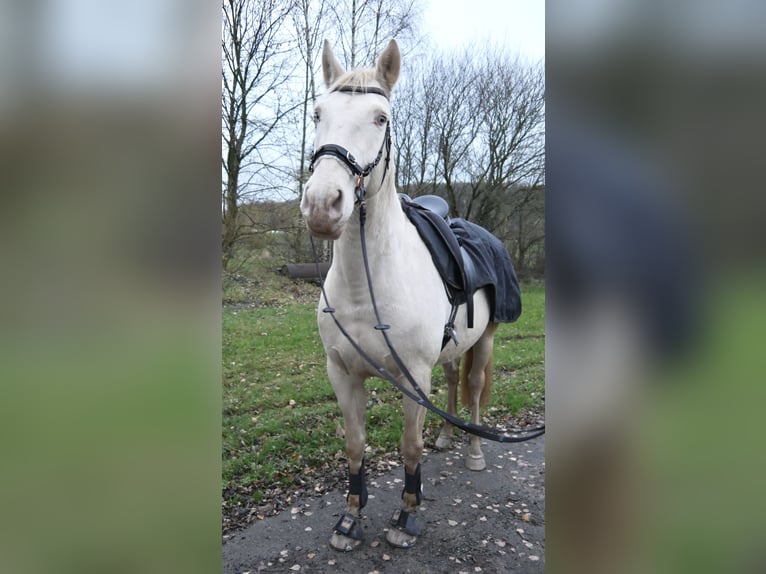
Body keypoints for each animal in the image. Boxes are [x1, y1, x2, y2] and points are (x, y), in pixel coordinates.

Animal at [304, 39, 508, 552]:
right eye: (318, 113)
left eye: (380, 118)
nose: (322, 205)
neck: (367, 286)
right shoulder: (343, 375)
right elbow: (355, 445)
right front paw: (351, 518)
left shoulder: (414, 376)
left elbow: (409, 446)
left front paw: (407, 516)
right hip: (453, 347)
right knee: (454, 378)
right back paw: (447, 437)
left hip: (486, 339)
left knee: (475, 387)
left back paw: (473, 450)